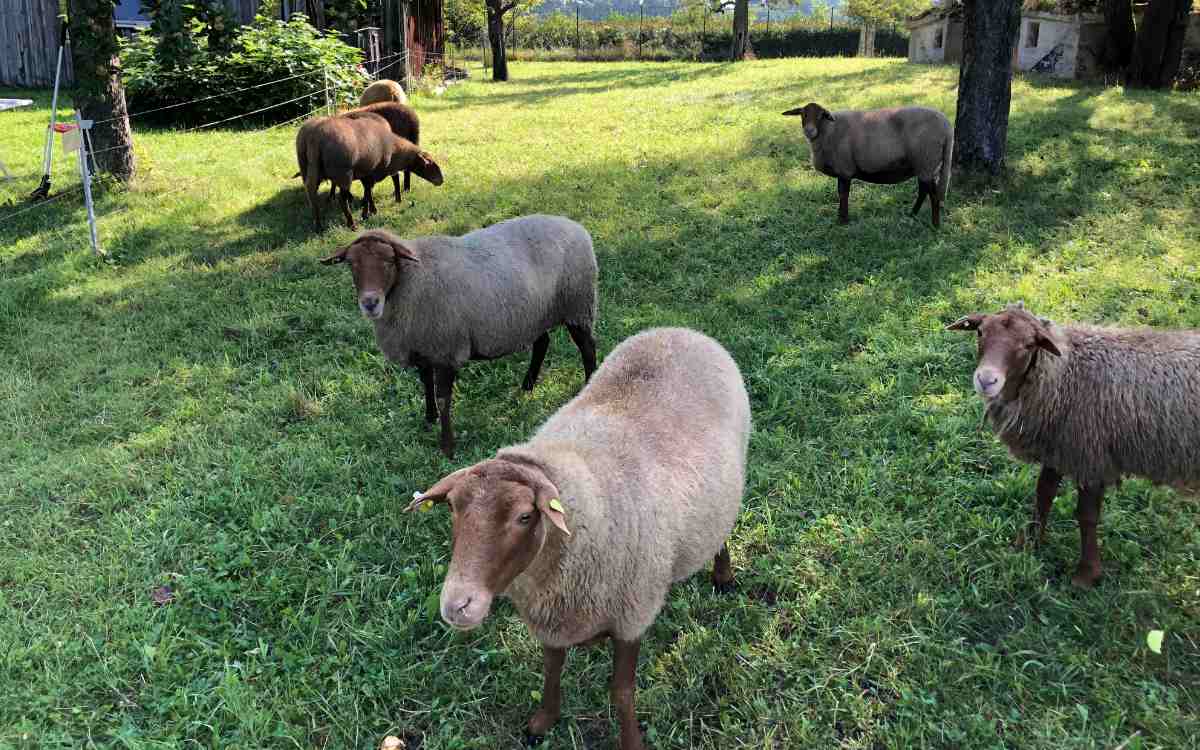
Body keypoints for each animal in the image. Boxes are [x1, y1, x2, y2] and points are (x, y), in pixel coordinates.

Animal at [297, 111, 444, 228]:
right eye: (430, 164)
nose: (441, 181)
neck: (394, 149)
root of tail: (315, 137)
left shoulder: (365, 172)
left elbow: (368, 192)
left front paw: (370, 210)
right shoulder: (372, 171)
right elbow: (368, 192)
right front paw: (366, 213)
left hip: (308, 170)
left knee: (312, 196)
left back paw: (318, 226)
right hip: (343, 174)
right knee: (342, 200)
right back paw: (351, 224)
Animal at [321, 212, 597, 456]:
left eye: (389, 261)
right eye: (352, 264)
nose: (370, 303)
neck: (413, 279)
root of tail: (576, 226)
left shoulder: (446, 349)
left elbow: (444, 398)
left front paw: (447, 446)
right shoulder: (423, 347)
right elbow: (425, 383)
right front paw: (429, 419)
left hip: (578, 305)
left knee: (587, 348)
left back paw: (588, 384)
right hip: (535, 314)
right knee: (542, 344)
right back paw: (527, 387)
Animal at [412, 326, 748, 748]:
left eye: (525, 516)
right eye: (454, 508)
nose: (456, 605)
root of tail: (679, 330)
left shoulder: (632, 615)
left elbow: (622, 693)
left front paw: (631, 741)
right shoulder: (553, 618)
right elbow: (552, 669)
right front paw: (543, 722)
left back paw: (723, 576)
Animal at [777, 101, 955, 228]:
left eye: (821, 115)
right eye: (803, 114)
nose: (809, 131)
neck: (829, 130)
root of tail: (947, 127)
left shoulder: (845, 169)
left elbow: (843, 194)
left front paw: (843, 220)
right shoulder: (843, 170)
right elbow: (841, 194)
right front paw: (842, 218)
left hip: (926, 160)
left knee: (933, 195)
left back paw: (935, 225)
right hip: (924, 165)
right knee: (924, 191)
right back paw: (913, 214)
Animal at [945, 301, 1200, 588]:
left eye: (1028, 345)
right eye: (980, 332)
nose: (986, 380)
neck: (1064, 373)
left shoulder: (1091, 455)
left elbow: (1086, 516)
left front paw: (1086, 574)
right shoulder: (1058, 446)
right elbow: (1043, 494)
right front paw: (1030, 542)